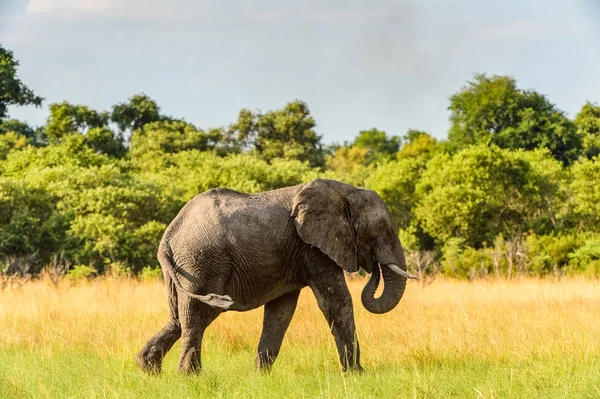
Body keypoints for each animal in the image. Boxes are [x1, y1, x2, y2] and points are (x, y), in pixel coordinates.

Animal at [136, 178, 418, 376]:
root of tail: (170, 234)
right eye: (380, 228)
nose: (373, 265)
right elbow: (337, 302)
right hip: (201, 262)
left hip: (183, 268)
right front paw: (357, 375)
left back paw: (148, 369)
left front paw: (261, 377)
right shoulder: (313, 248)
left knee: (179, 317)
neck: (346, 191)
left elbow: (281, 312)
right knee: (197, 317)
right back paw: (190, 377)